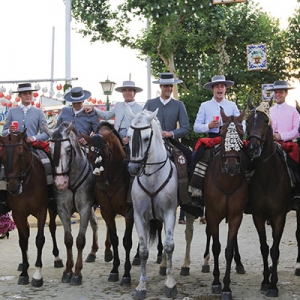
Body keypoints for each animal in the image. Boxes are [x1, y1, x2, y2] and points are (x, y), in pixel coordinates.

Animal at [0, 130, 61, 288]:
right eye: (2, 156)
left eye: (21, 154)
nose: (13, 187)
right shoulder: (18, 213)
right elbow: (23, 241)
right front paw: (24, 273)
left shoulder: (41, 210)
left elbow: (39, 239)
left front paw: (37, 275)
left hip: (52, 208)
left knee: (52, 228)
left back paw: (57, 258)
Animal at [43, 120, 96, 284]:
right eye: (50, 149)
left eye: (68, 150)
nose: (60, 183)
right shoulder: (62, 209)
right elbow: (68, 240)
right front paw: (67, 271)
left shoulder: (85, 207)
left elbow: (80, 240)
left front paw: (77, 273)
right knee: (95, 224)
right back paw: (93, 252)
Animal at [82, 122, 134, 286]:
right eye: (90, 156)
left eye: (108, 154)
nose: (102, 185)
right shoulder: (107, 211)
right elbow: (115, 239)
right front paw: (115, 270)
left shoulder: (130, 212)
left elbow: (127, 241)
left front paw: (126, 274)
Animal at [126, 108, 178, 300]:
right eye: (128, 135)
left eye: (147, 138)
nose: (133, 168)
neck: (153, 178)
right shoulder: (139, 217)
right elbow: (143, 250)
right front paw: (141, 286)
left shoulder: (170, 213)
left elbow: (170, 245)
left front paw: (170, 284)